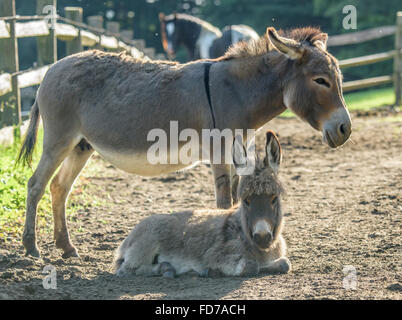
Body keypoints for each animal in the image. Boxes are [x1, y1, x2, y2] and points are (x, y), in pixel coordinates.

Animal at [114, 131, 290, 276]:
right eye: (245, 200)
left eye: (274, 198)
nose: (262, 237)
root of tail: (127, 240)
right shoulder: (215, 254)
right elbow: (251, 266)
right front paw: (210, 271)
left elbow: (285, 264)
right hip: (145, 245)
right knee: (126, 270)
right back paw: (166, 269)